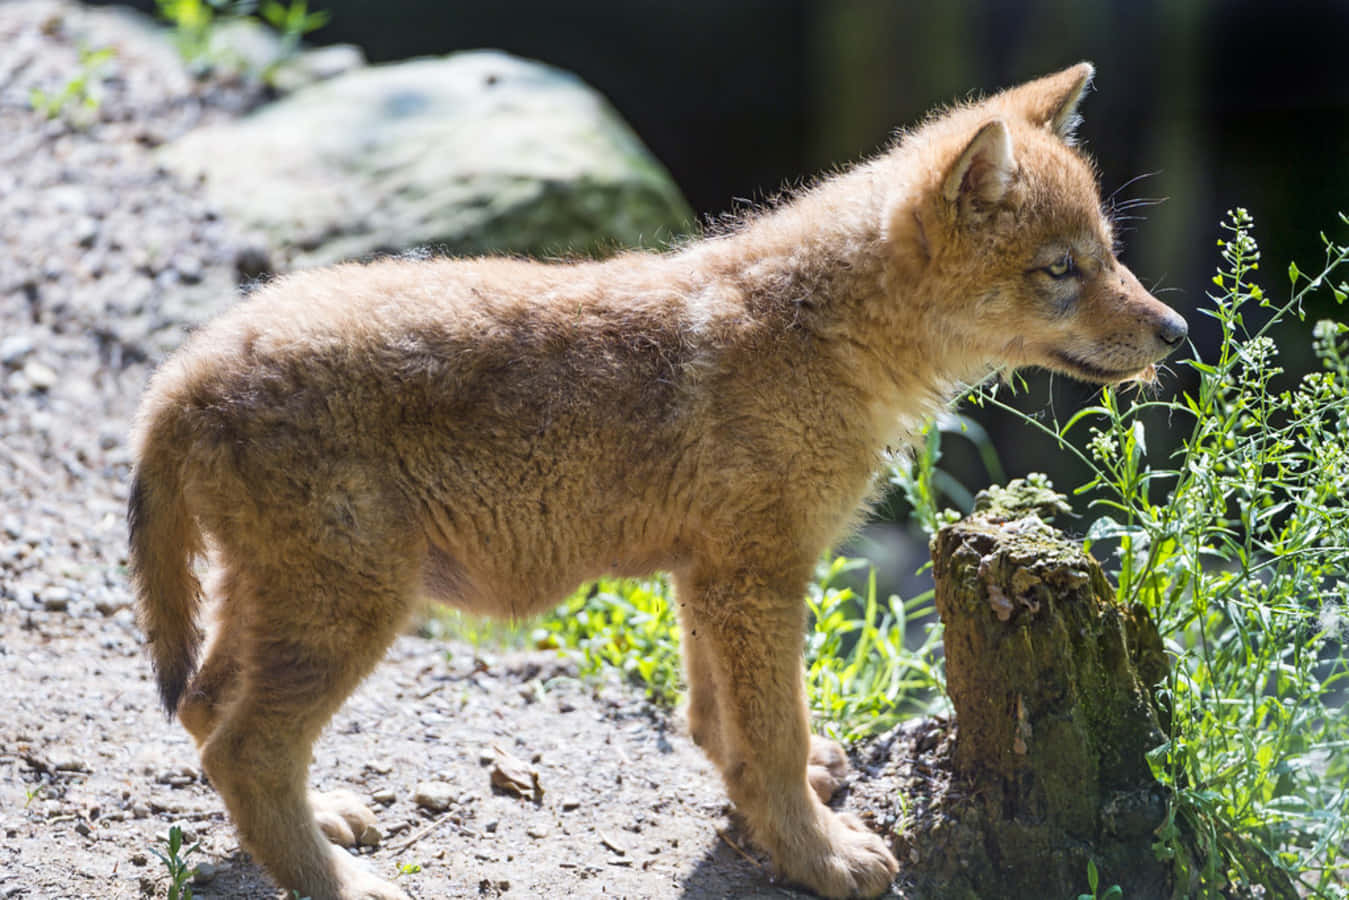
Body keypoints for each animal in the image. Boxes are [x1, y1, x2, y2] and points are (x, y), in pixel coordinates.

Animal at [128, 62, 1187, 899]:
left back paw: (329, 819)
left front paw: (793, 808)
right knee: (242, 749)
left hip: (278, 601)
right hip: (352, 607)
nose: (1176, 332)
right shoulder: (756, 578)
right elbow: (771, 738)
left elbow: (720, 725)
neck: (825, 334)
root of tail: (184, 370)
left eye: (1109, 255)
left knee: (207, 710)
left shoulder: (707, 575)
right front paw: (822, 857)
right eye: (1061, 269)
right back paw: (342, 883)